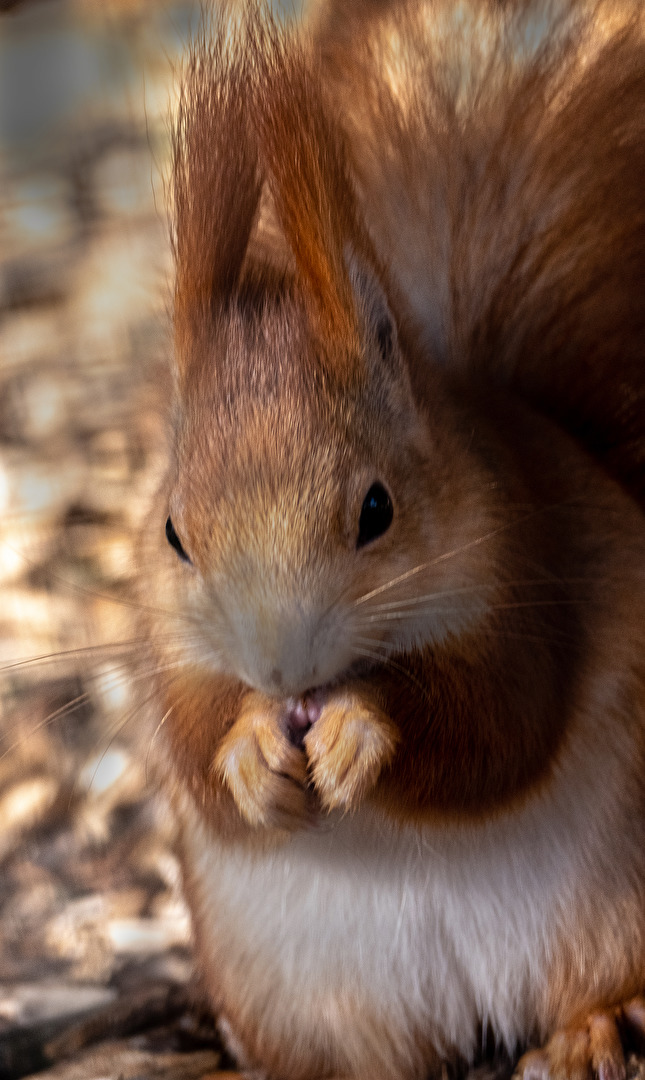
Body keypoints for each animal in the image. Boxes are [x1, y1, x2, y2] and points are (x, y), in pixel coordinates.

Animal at [139, 2, 643, 1080]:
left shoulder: (526, 563)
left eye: (377, 510)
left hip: (621, 894)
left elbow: (498, 721)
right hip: (290, 993)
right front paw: (248, 753)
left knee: (596, 979)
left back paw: (589, 1029)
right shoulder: (163, 644)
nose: (281, 675)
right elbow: (192, 748)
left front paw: (362, 727)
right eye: (173, 534)